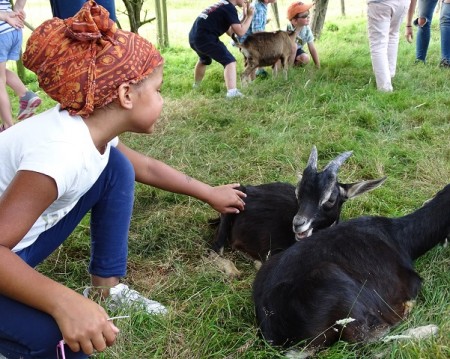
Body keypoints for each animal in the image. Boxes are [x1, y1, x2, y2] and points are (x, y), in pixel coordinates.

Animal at [209, 148, 384, 278]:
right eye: (298, 193)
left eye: (331, 199)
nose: (298, 223)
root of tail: (248, 189)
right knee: (214, 249)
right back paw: (233, 271)